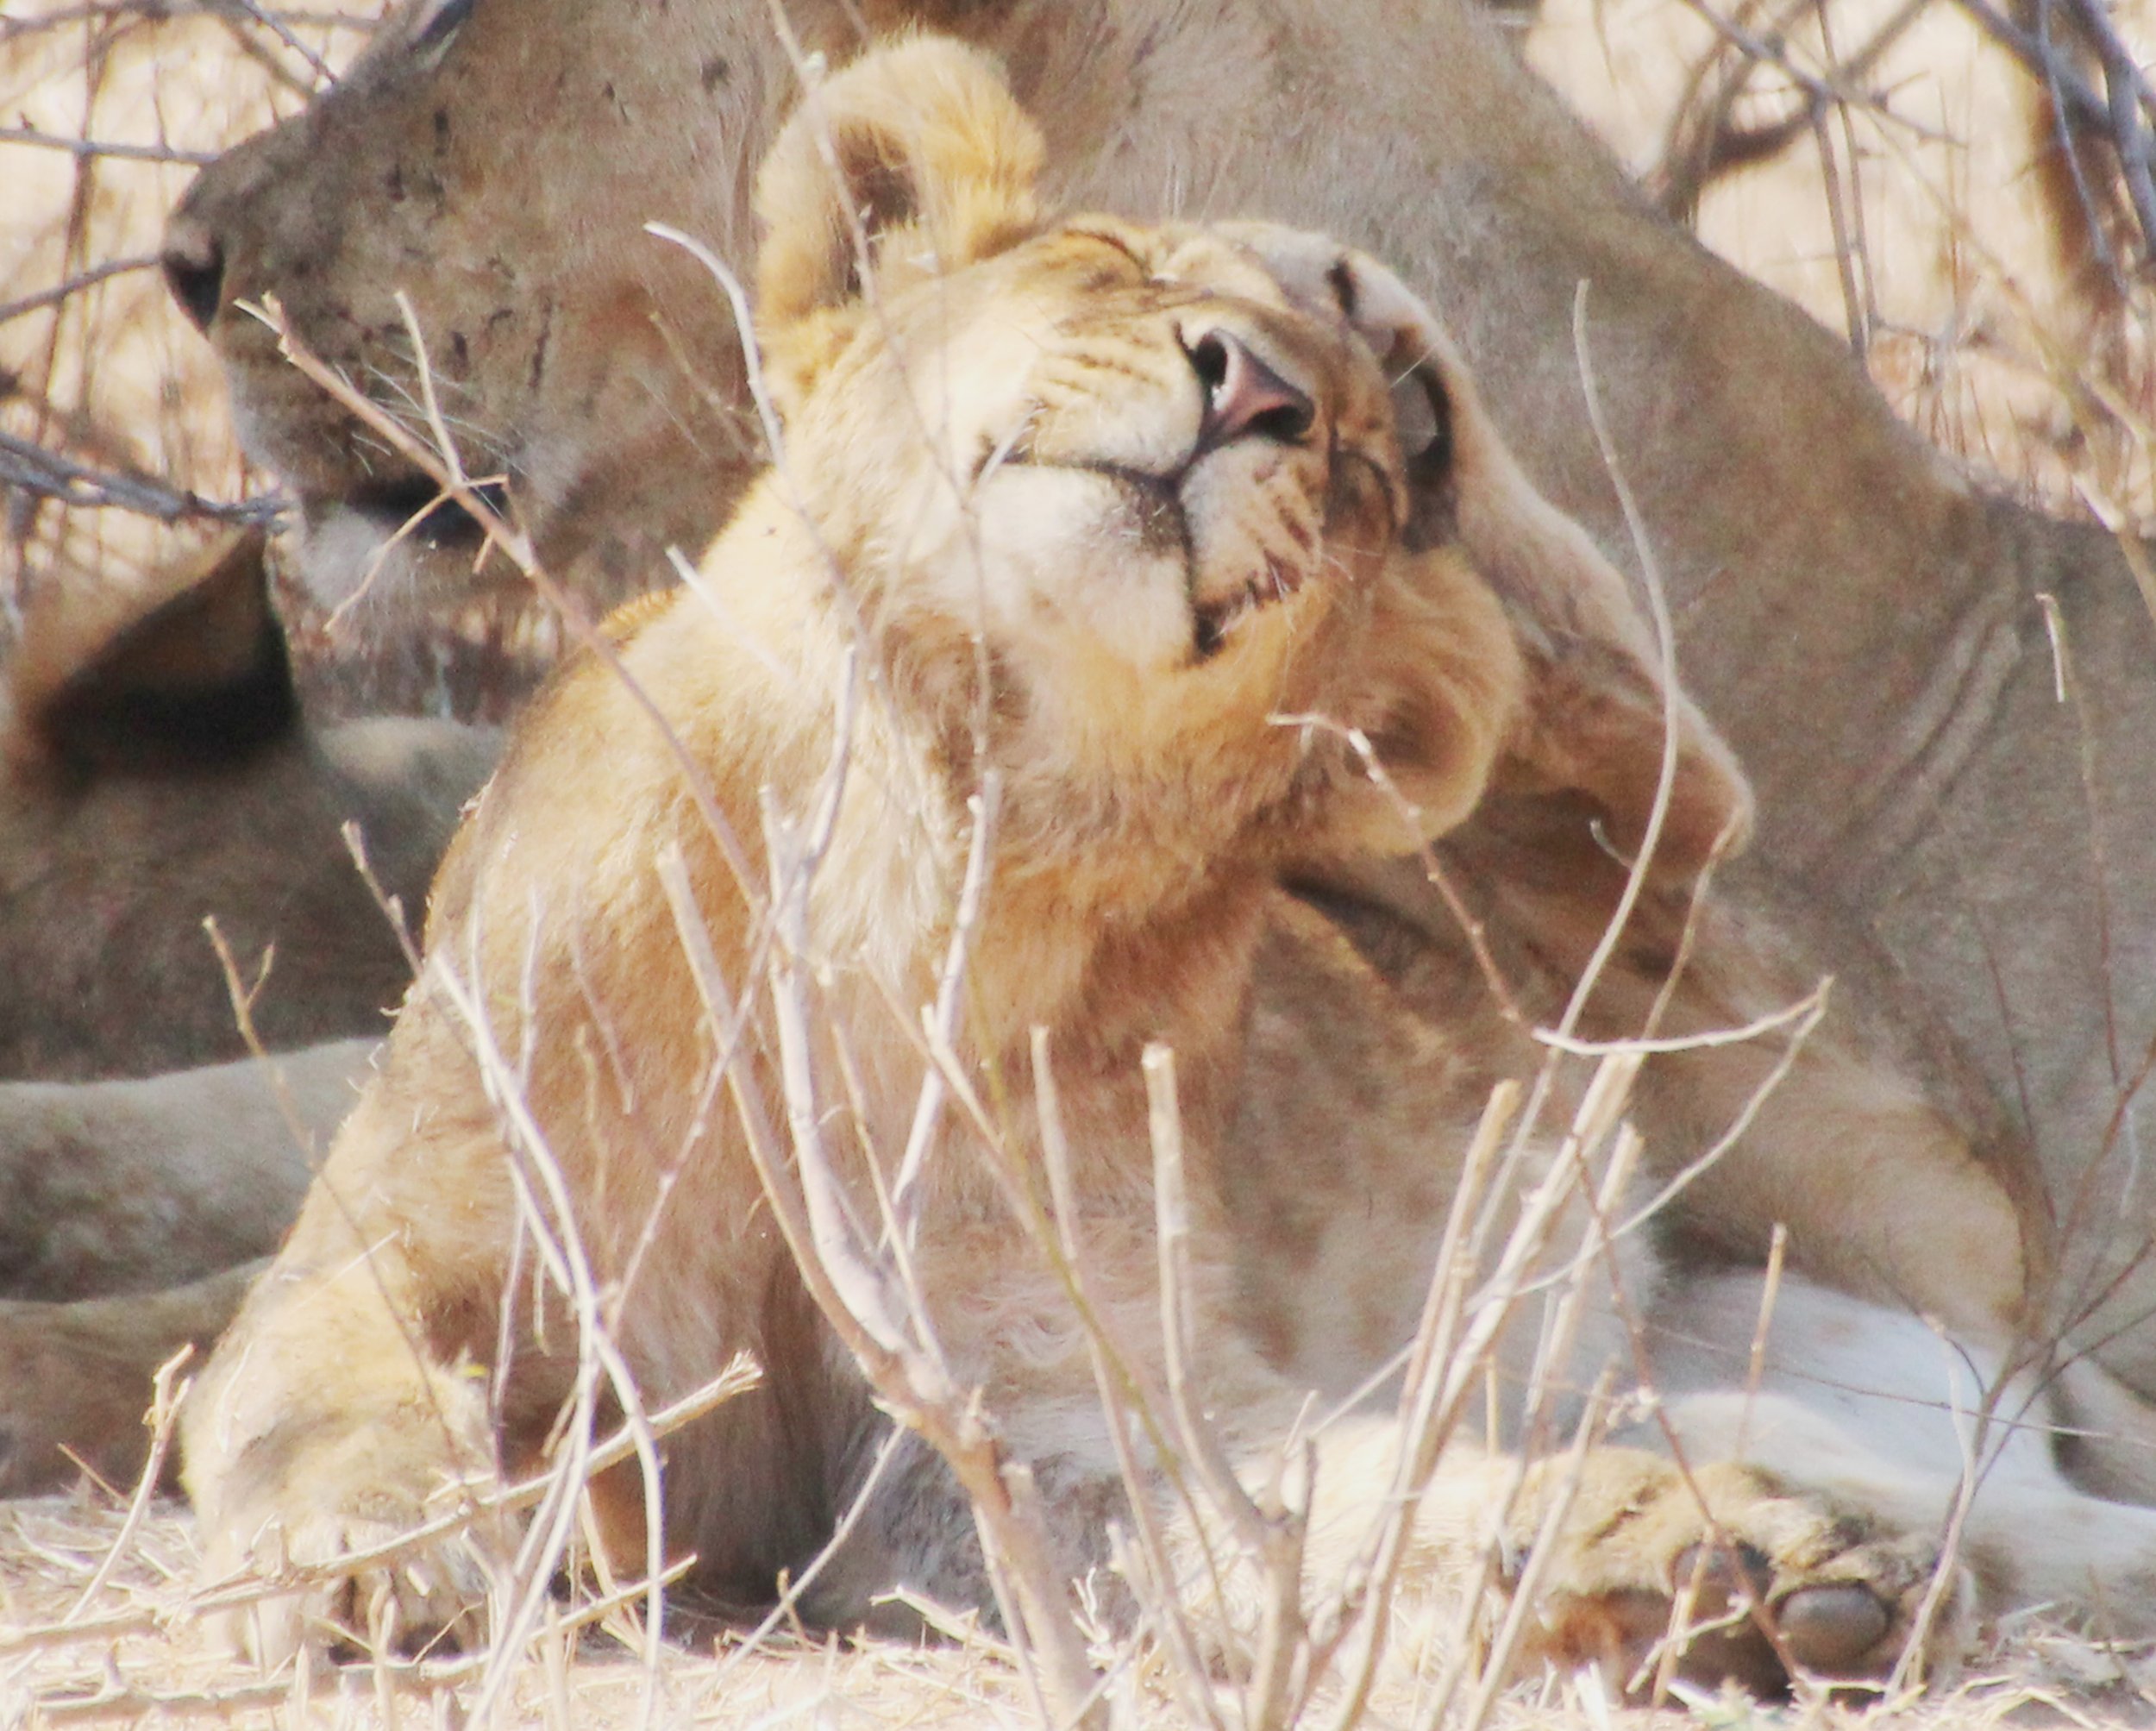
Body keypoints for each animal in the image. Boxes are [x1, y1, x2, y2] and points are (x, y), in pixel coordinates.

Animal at [181, 46, 2156, 1697]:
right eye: (1123, 263)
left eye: (1392, 439)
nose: (1260, 388)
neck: (920, 835)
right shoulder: (411, 1234)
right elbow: (315, 1392)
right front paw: (374, 1564)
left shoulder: (1015, 1408)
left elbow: (1301, 1513)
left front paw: (1706, 1567)